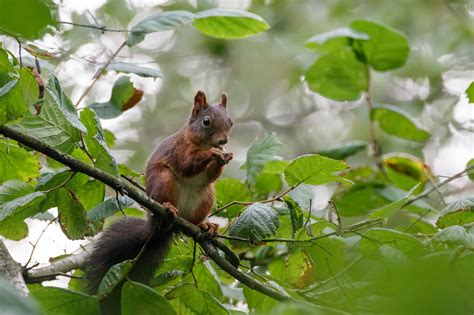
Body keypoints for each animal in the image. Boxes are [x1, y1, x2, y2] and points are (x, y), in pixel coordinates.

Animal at [86, 91, 234, 308]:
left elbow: (210, 177)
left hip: (206, 196)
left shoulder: (208, 178)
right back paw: (169, 208)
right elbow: (187, 164)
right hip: (165, 181)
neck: (199, 142)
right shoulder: (179, 149)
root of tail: (156, 225)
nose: (223, 141)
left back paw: (204, 225)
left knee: (194, 217)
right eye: (206, 122)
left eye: (231, 122)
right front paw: (213, 153)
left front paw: (224, 157)